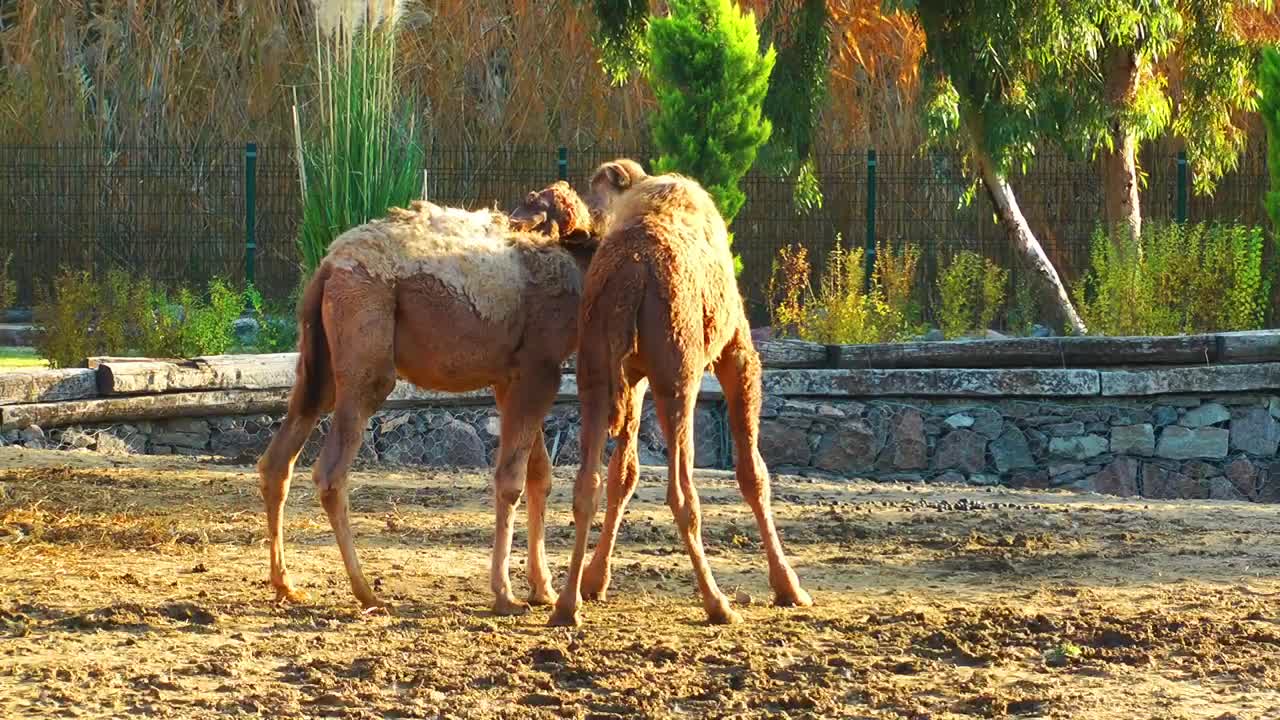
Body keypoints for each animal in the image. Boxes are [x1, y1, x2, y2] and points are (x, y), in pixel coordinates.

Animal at [259, 179, 599, 609]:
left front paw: (544, 589)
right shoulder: (539, 369)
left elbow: (540, 474)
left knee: (277, 462)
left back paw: (286, 584)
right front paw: (505, 594)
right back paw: (367, 592)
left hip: (318, 368)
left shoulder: (511, 378)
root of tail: (328, 267)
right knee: (330, 472)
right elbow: (511, 480)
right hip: (366, 358)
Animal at [547, 159, 808, 625]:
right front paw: (789, 586)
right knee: (683, 493)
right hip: (678, 375)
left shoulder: (631, 374)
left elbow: (623, 474)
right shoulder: (736, 348)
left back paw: (565, 605)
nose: (573, 229)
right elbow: (753, 472)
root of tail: (631, 275)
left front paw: (596, 581)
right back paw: (718, 603)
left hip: (594, 373)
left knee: (586, 485)